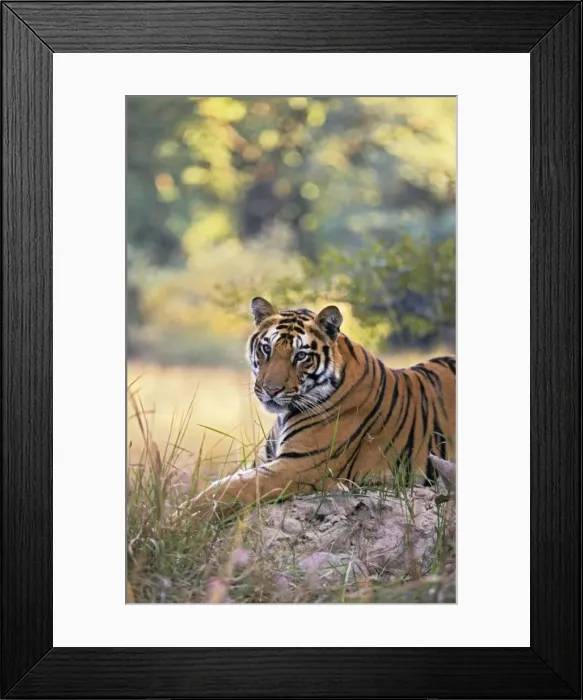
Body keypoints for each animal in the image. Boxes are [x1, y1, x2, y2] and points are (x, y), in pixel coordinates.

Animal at [193, 296, 456, 518]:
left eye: (300, 356)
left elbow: (228, 489)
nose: (270, 390)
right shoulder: (268, 460)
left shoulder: (299, 466)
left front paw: (187, 518)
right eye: (266, 348)